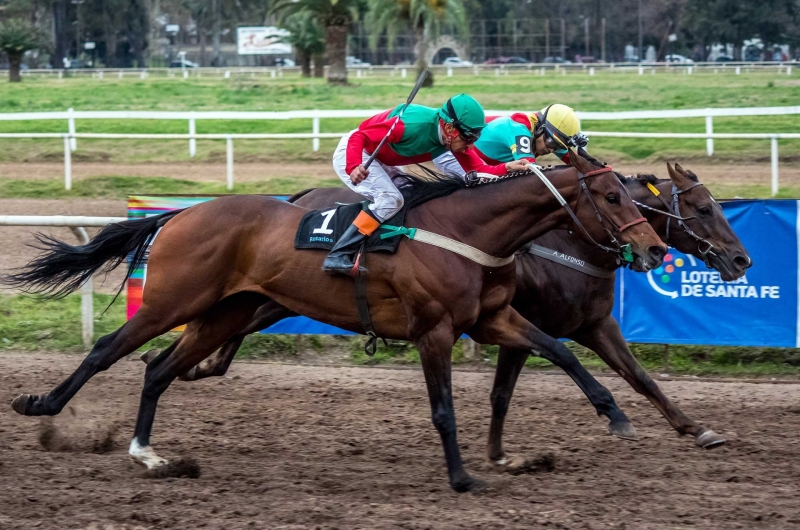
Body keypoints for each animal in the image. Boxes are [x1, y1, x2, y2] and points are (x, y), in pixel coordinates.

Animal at [7, 152, 664, 490]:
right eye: (612, 197)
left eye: (636, 194)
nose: (656, 250)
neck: (468, 232)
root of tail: (179, 215)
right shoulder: (433, 331)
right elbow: (444, 410)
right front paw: (462, 478)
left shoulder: (493, 318)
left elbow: (564, 351)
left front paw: (616, 416)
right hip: (172, 301)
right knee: (107, 351)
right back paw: (41, 405)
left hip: (222, 312)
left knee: (157, 369)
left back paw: (151, 456)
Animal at [162, 162, 752, 458]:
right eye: (703, 208)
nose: (741, 259)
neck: (567, 245)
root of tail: (300, 198)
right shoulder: (531, 325)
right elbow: (510, 389)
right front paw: (497, 452)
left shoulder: (593, 324)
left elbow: (641, 378)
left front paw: (697, 429)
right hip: (280, 294)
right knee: (225, 325)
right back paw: (187, 364)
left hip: (277, 296)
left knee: (229, 326)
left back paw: (190, 364)